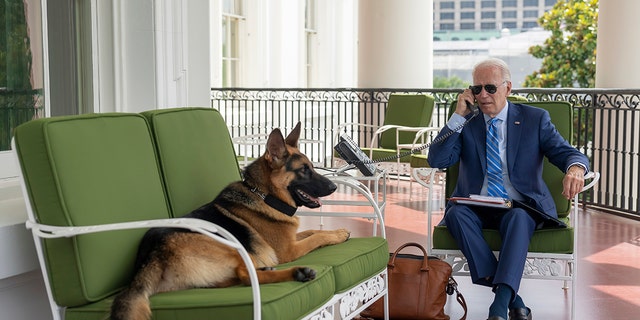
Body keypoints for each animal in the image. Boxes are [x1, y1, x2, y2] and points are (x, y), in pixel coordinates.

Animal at [110, 122, 350, 320]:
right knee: (245, 276)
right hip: (230, 247)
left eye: (311, 167)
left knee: (236, 278)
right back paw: (297, 272)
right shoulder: (287, 251)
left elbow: (312, 232)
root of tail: (149, 257)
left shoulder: (291, 238)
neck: (265, 195)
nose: (334, 187)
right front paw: (339, 234)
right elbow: (316, 237)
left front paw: (336, 231)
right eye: (304, 170)